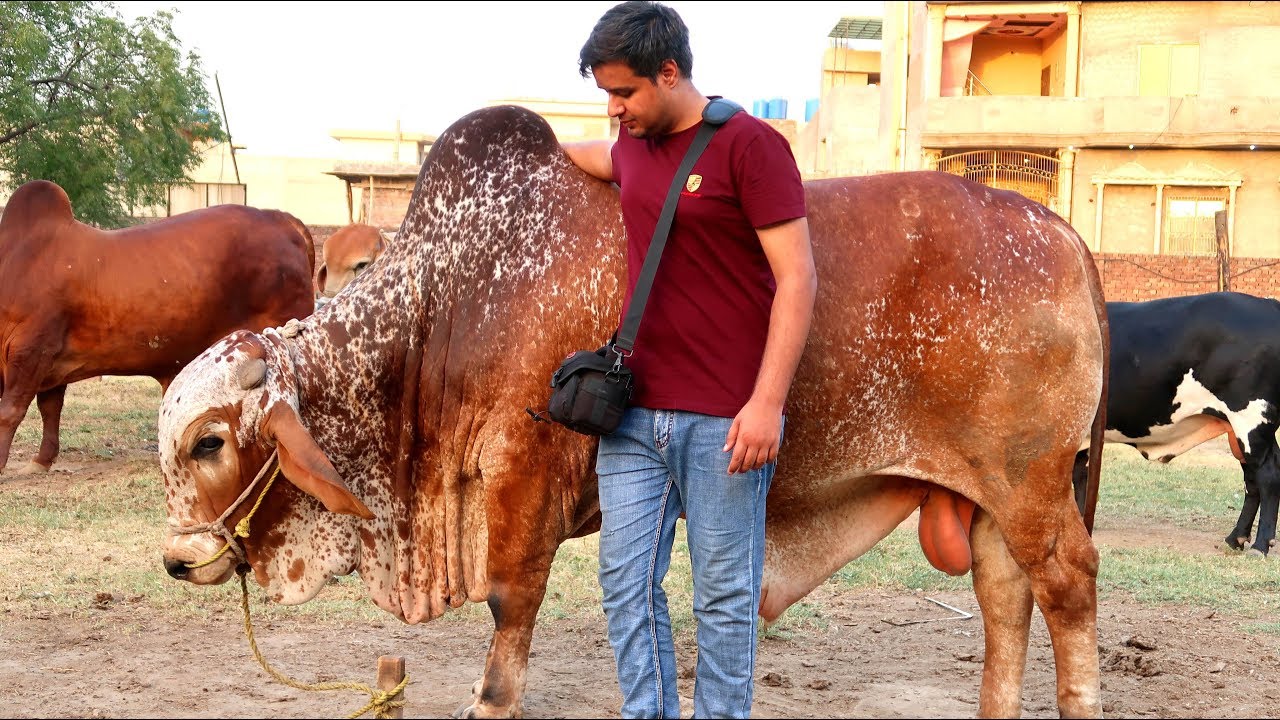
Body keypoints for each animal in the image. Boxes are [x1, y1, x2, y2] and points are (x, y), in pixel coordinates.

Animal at [0, 180, 316, 475]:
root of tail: (280, 219)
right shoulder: (51, 360)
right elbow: (50, 408)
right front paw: (42, 460)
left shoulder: (31, 348)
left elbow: (10, 410)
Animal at [155, 105, 1108, 719]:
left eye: (209, 441)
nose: (175, 561)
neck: (448, 307)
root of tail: (1062, 232)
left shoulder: (523, 474)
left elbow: (508, 608)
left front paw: (489, 701)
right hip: (989, 499)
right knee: (1004, 598)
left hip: (1030, 485)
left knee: (1067, 587)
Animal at [1073, 292, 1280, 557]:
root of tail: (1268, 304)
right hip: (1241, 433)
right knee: (1252, 481)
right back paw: (1235, 539)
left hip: (1251, 422)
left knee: (1268, 476)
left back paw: (1260, 545)